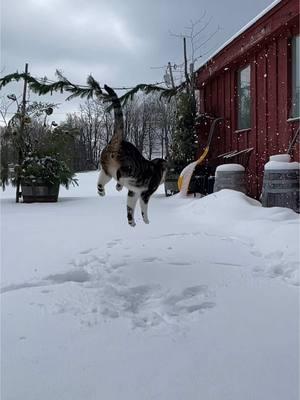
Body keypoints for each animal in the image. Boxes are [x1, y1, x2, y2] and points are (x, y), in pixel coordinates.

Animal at [97, 84, 168, 227]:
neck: (156, 166)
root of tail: (117, 142)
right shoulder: (145, 194)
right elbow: (143, 210)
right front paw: (146, 221)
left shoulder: (133, 193)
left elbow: (130, 208)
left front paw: (131, 222)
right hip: (128, 169)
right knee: (120, 176)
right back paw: (119, 186)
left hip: (106, 171)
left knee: (101, 182)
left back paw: (101, 192)